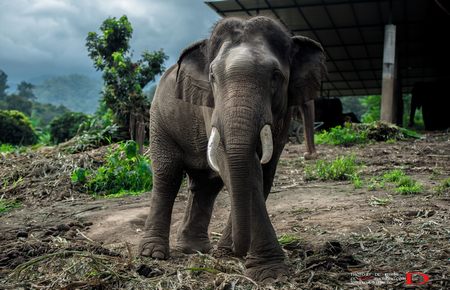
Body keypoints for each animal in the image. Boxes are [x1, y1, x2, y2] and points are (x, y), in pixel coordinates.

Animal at [139, 15, 326, 280]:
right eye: (212, 77)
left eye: (275, 75)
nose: (237, 251)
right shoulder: (210, 105)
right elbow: (240, 167)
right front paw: (271, 272)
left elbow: (264, 172)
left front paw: (234, 255)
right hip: (159, 122)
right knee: (167, 176)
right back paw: (152, 254)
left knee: (205, 185)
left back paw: (194, 249)